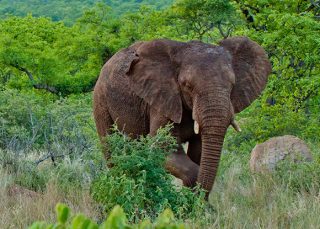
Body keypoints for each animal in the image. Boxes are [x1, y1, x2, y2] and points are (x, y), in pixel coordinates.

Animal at [94, 36, 272, 196]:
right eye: (187, 86)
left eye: (232, 85)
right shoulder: (161, 101)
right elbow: (164, 149)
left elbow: (199, 151)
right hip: (100, 101)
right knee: (111, 150)